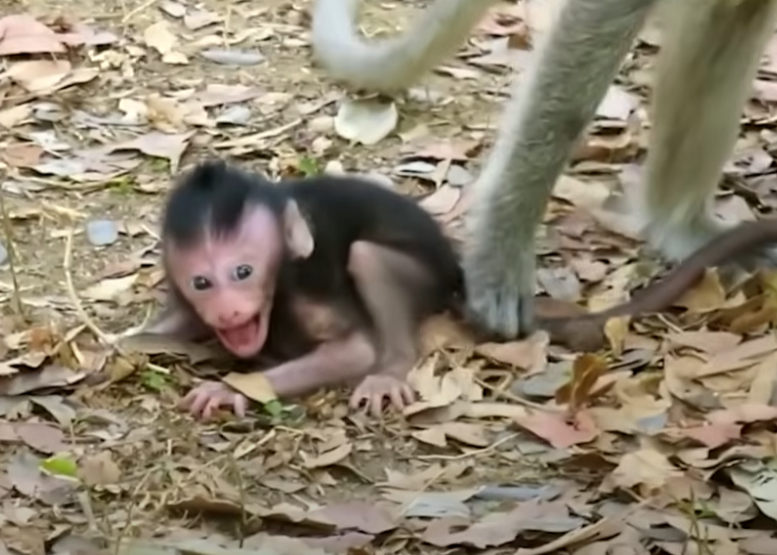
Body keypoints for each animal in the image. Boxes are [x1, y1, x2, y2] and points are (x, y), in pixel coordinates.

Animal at [144, 160, 463, 420]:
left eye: (243, 272)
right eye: (201, 283)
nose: (227, 312)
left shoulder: (304, 293)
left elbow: (354, 352)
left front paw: (229, 390)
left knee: (366, 256)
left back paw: (390, 372)